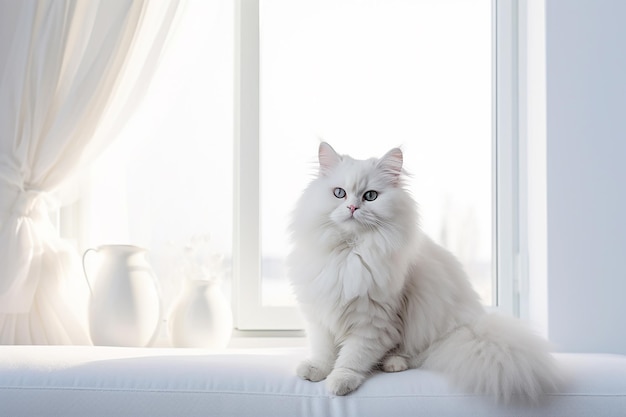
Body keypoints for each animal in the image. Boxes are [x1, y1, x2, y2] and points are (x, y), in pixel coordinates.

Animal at [286, 142, 556, 400]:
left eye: (370, 196)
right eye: (339, 193)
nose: (352, 207)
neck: (350, 252)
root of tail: (471, 327)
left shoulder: (373, 323)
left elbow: (352, 357)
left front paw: (339, 381)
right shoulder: (320, 315)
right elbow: (324, 351)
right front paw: (316, 370)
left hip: (430, 324)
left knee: (420, 354)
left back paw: (393, 363)